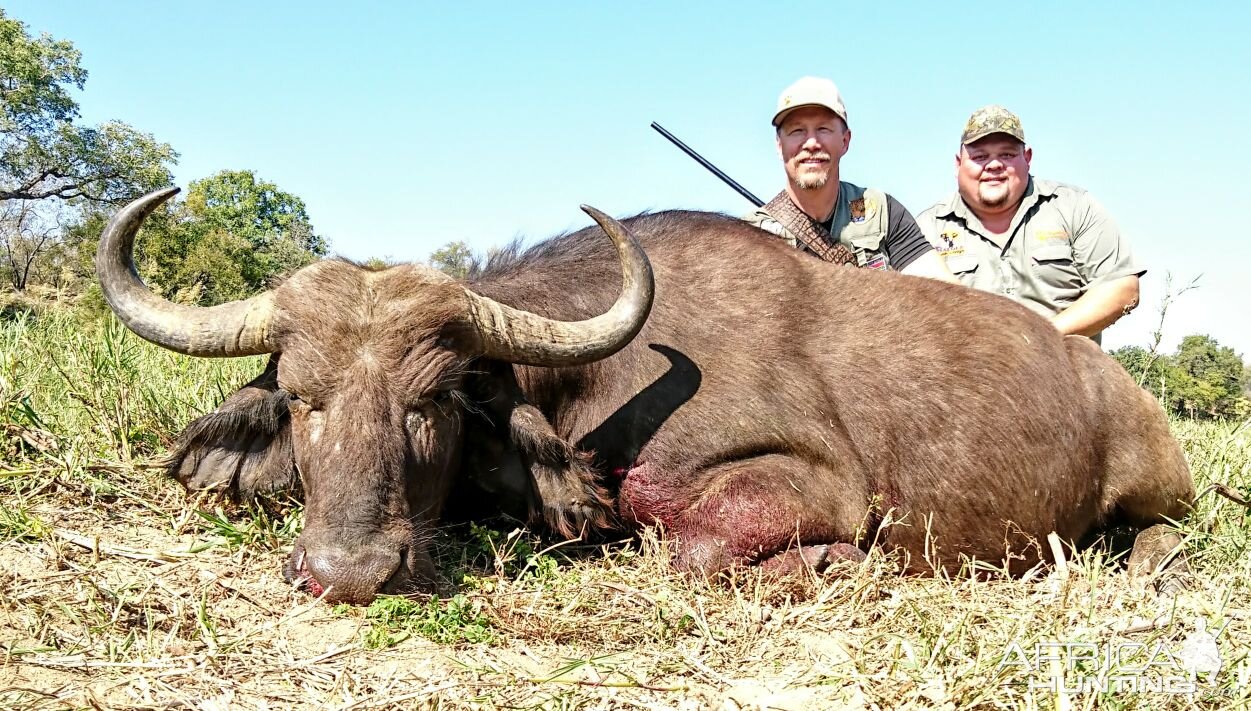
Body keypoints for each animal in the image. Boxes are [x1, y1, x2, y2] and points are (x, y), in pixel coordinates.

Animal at [95, 186, 1190, 603]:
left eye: (436, 399)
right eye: (299, 395)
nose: (350, 570)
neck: (602, 383)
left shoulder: (814, 487)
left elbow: (694, 550)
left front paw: (843, 566)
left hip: (1157, 488)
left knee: (1160, 533)